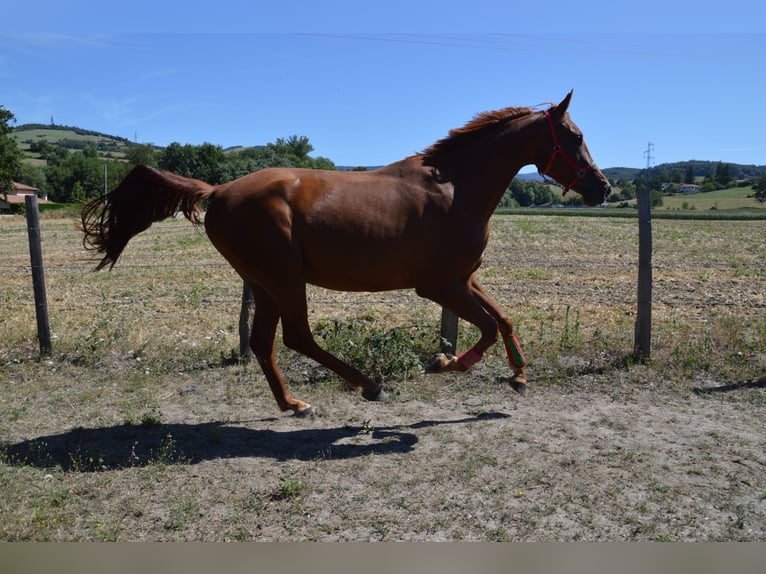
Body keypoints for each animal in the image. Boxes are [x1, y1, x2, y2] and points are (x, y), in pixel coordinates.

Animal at [81, 90, 612, 416]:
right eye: (576, 137)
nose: (603, 189)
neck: (456, 187)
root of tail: (218, 190)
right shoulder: (439, 285)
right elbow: (483, 327)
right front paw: (445, 364)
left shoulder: (465, 278)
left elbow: (502, 318)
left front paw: (518, 376)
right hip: (284, 279)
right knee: (296, 338)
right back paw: (370, 385)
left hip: (264, 283)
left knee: (264, 343)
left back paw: (293, 404)